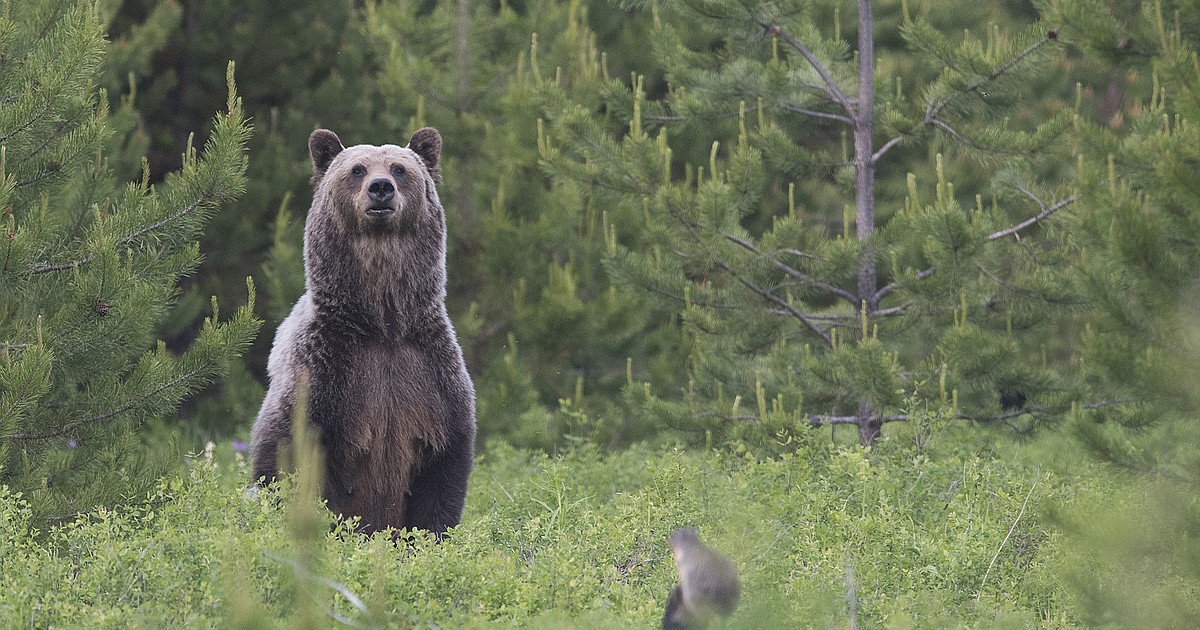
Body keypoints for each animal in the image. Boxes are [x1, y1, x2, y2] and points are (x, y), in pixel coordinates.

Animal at [250, 126, 475, 535]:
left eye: (400, 168)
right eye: (357, 169)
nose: (381, 188)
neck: (382, 325)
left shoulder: (432, 376)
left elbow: (441, 481)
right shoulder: (323, 373)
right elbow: (287, 460)